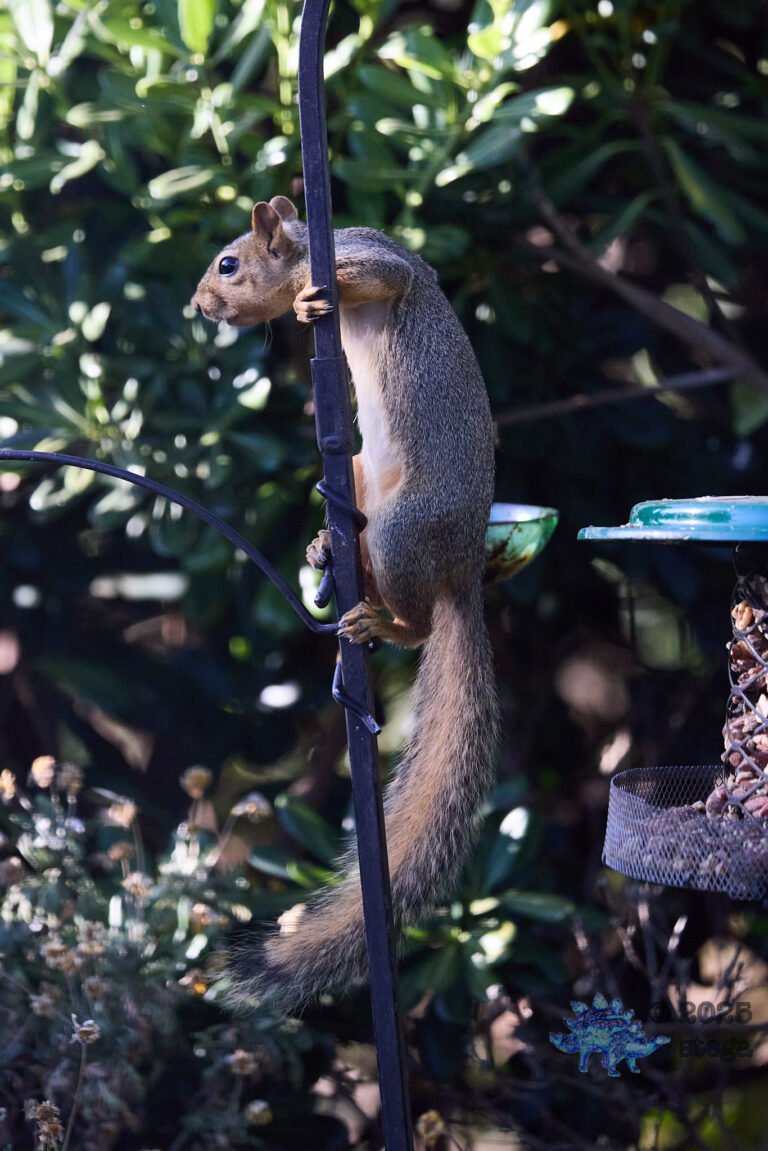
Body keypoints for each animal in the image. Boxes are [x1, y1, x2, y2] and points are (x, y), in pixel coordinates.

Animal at [192, 195, 499, 1013]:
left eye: (229, 264)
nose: (197, 305)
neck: (308, 248)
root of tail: (462, 569)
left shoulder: (371, 255)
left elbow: (391, 275)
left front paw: (307, 301)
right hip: (359, 477)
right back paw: (326, 553)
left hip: (405, 533)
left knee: (418, 624)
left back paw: (383, 619)